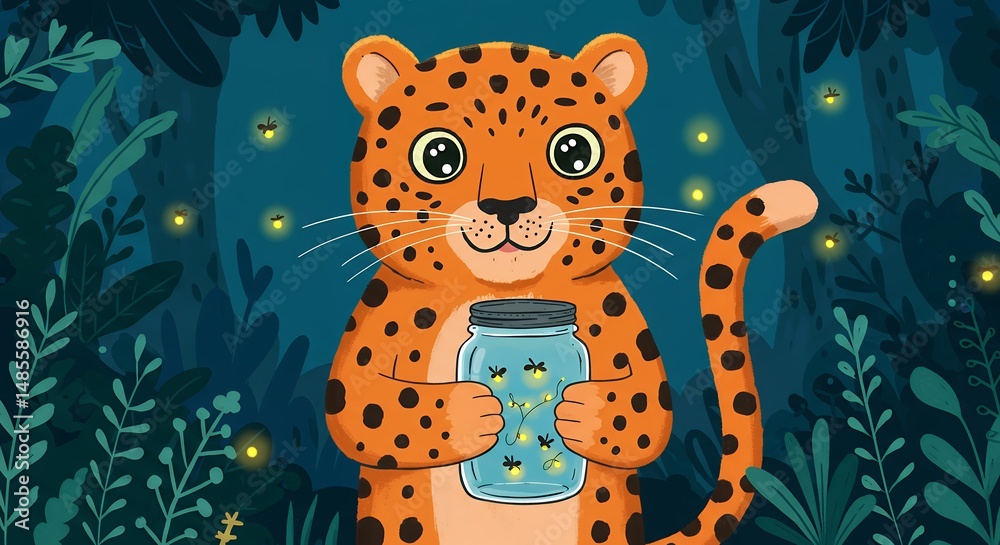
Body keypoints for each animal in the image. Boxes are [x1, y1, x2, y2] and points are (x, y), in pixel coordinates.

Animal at [324, 33, 818, 545]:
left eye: (573, 152)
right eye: (438, 156)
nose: (507, 205)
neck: (506, 296)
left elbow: (646, 412)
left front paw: (582, 410)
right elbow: (364, 408)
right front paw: (471, 411)